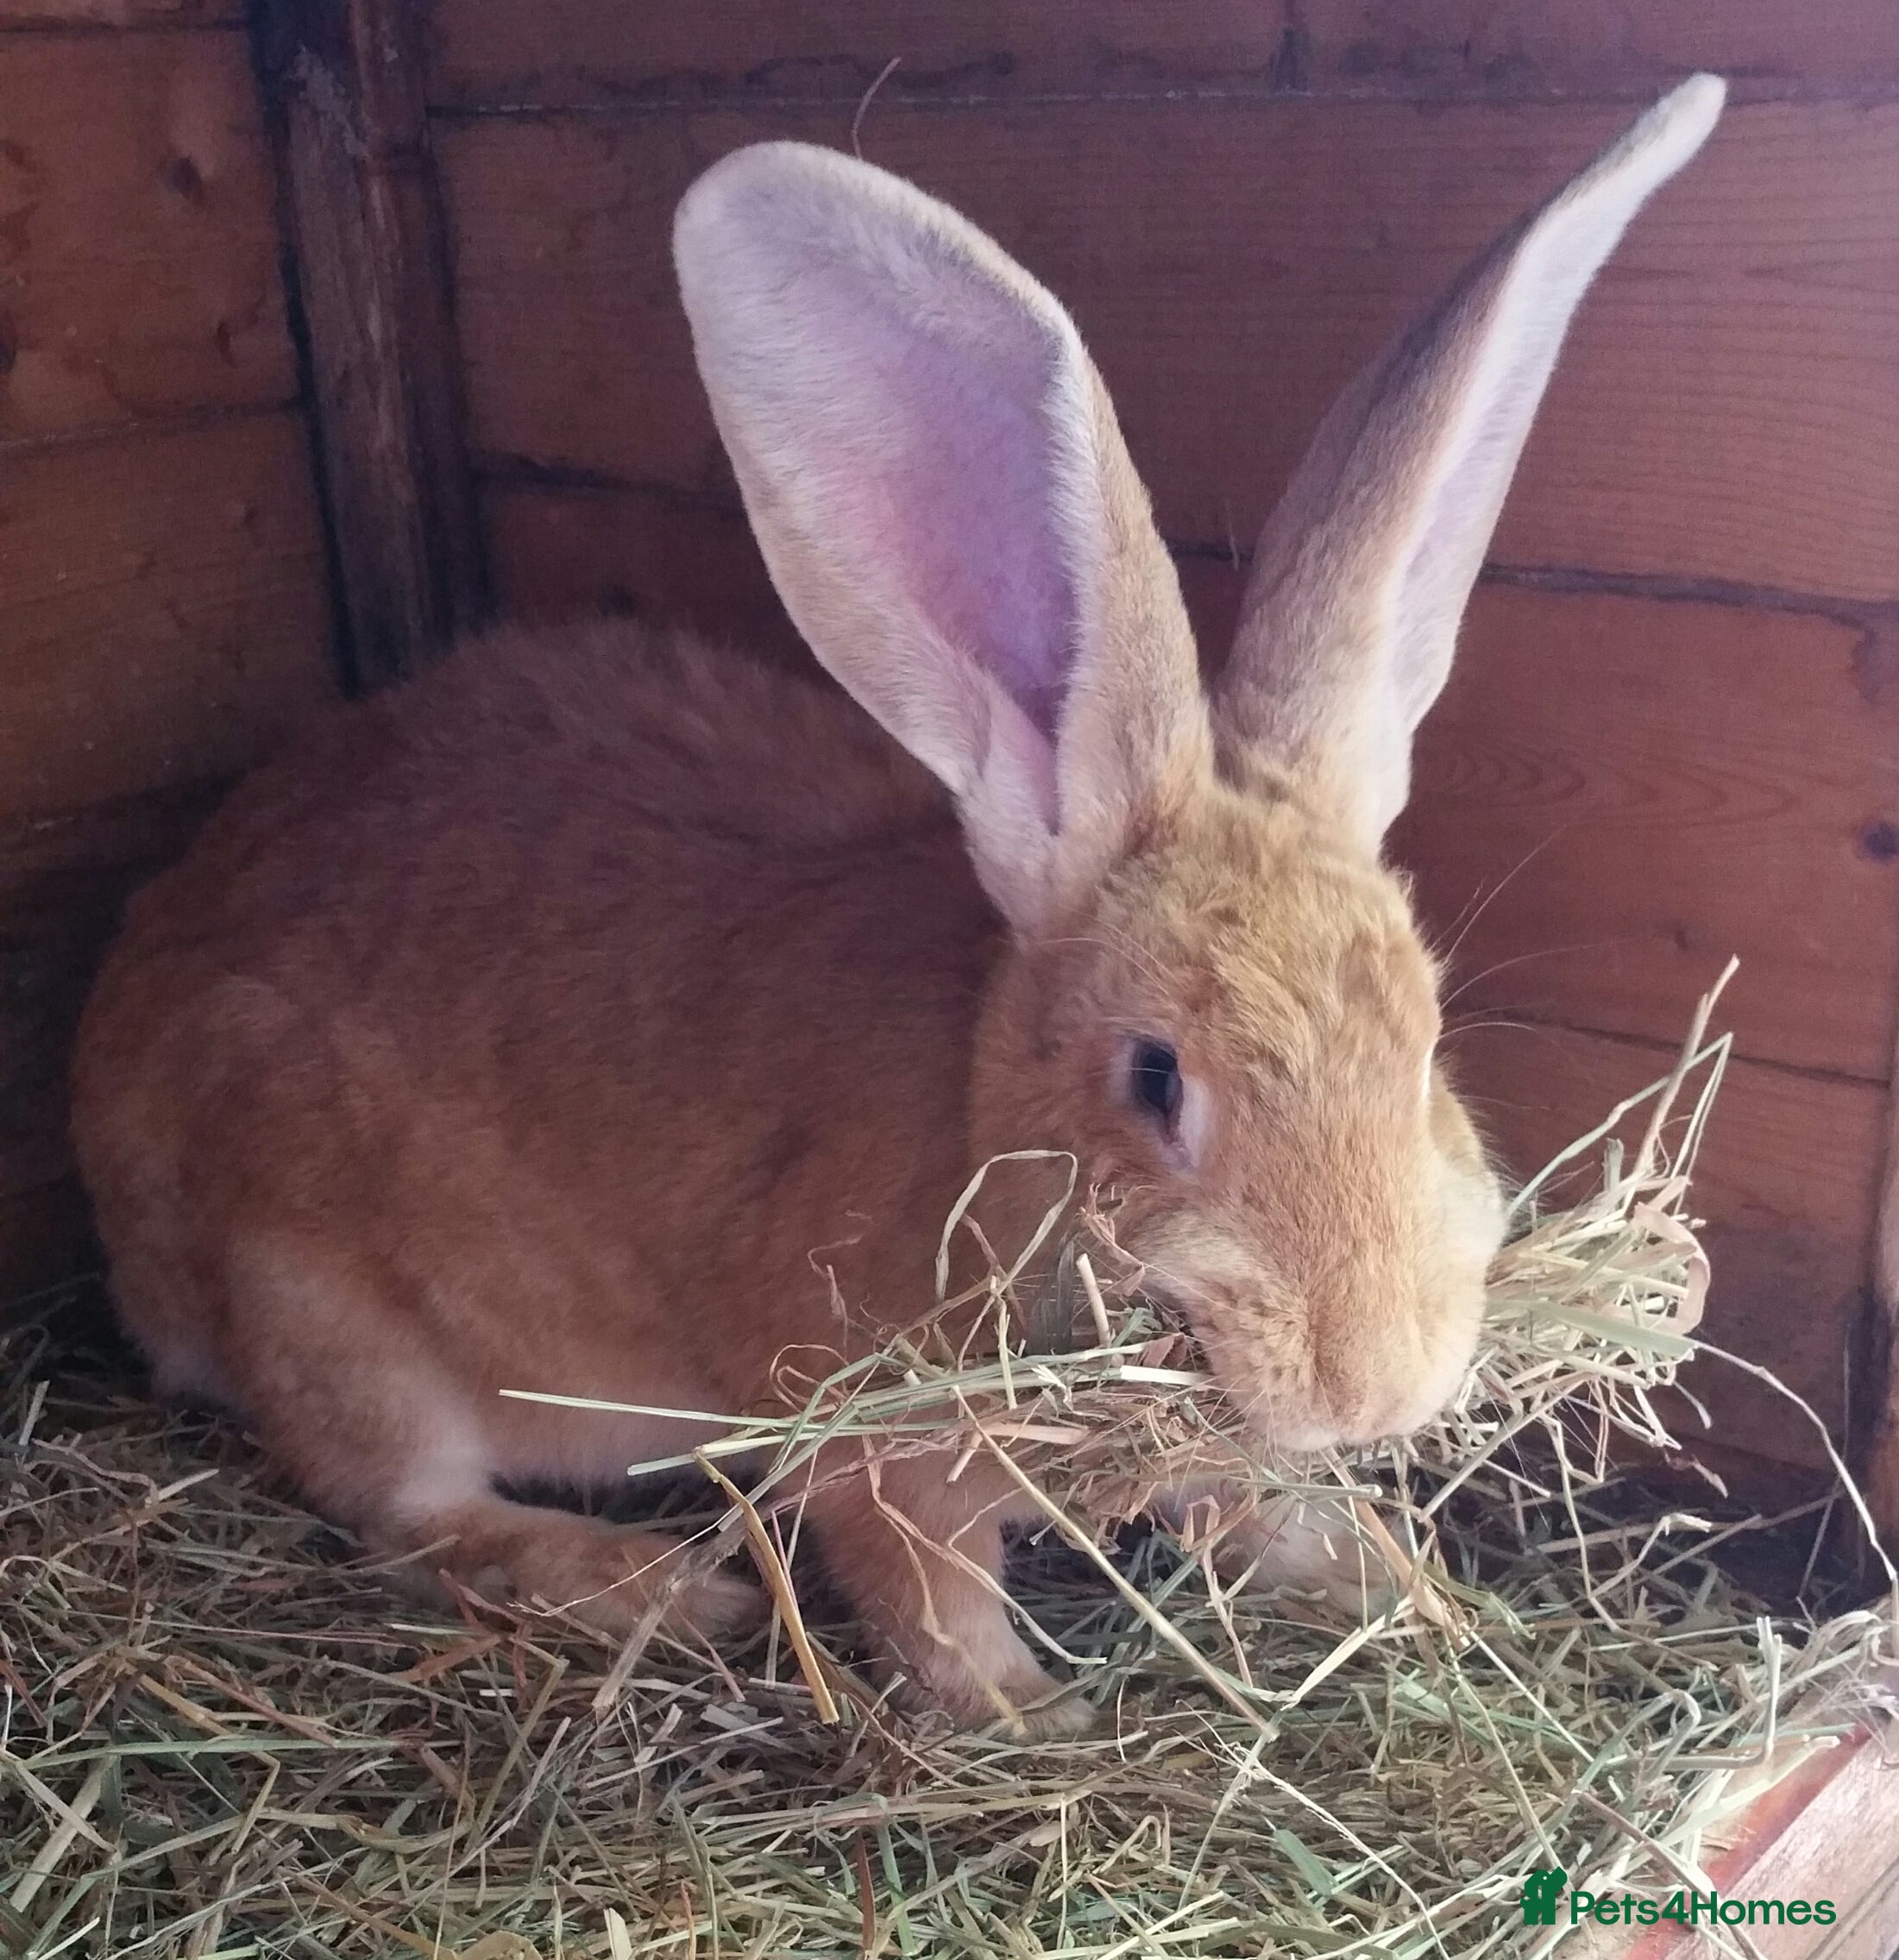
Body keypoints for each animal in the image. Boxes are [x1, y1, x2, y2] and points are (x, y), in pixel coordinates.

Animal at [70, 75, 1724, 1736]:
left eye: (1428, 1042)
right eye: (1154, 1078)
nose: (1373, 1384)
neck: (981, 1136)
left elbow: (1264, 1511)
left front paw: (1411, 1595)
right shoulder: (862, 1433)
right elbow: (924, 1592)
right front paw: (1035, 1719)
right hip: (326, 1308)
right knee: (410, 1513)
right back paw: (668, 1591)